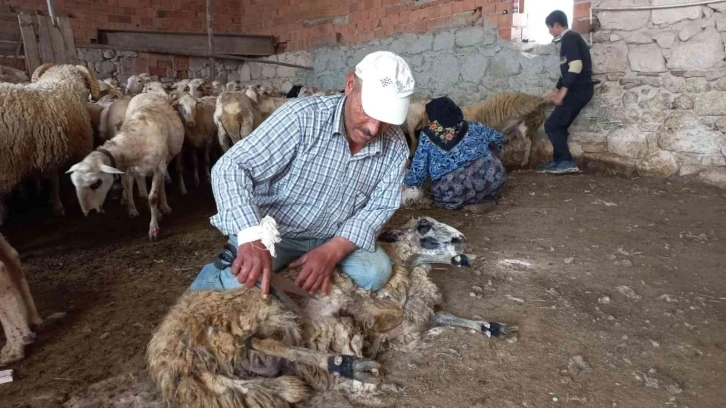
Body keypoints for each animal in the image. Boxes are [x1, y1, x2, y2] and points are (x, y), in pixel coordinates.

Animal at [0, 62, 102, 225]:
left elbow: (50, 178)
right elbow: (55, 180)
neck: (63, 84)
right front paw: (58, 206)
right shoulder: (59, 150)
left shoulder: (46, 151)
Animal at [148, 215, 516, 406]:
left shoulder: (415, 321)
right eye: (424, 226)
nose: (460, 239)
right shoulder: (377, 307)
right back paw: (349, 364)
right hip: (260, 310)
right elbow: (377, 313)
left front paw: (492, 326)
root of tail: (172, 361)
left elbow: (446, 316)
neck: (407, 271)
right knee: (262, 341)